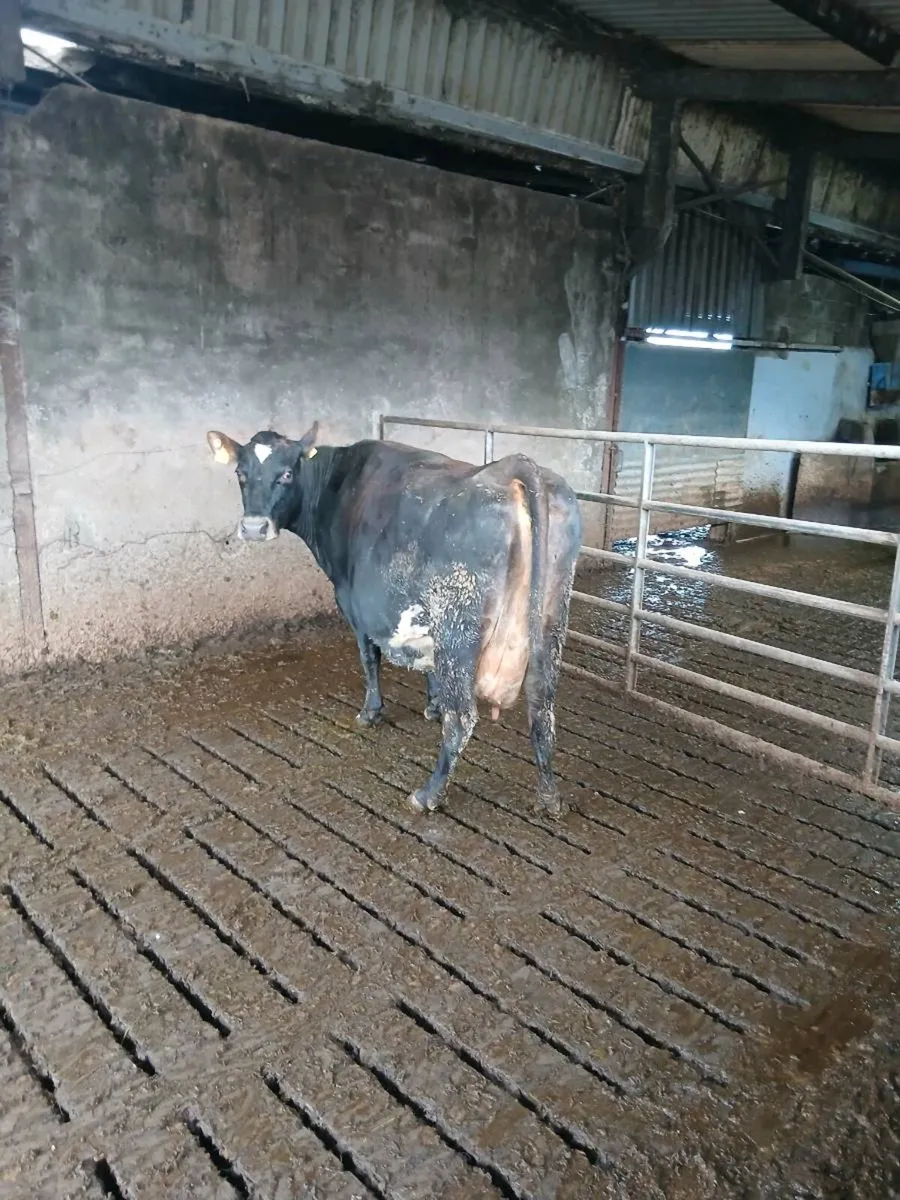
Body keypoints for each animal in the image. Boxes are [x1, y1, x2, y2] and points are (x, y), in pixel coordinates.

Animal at [207, 423, 582, 818]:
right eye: (240, 474)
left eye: (287, 474)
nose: (253, 527)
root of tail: (513, 467)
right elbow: (428, 668)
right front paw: (432, 704)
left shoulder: (353, 604)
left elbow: (369, 659)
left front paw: (371, 713)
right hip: (549, 624)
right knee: (542, 710)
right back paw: (549, 797)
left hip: (458, 626)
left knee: (462, 719)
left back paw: (428, 794)